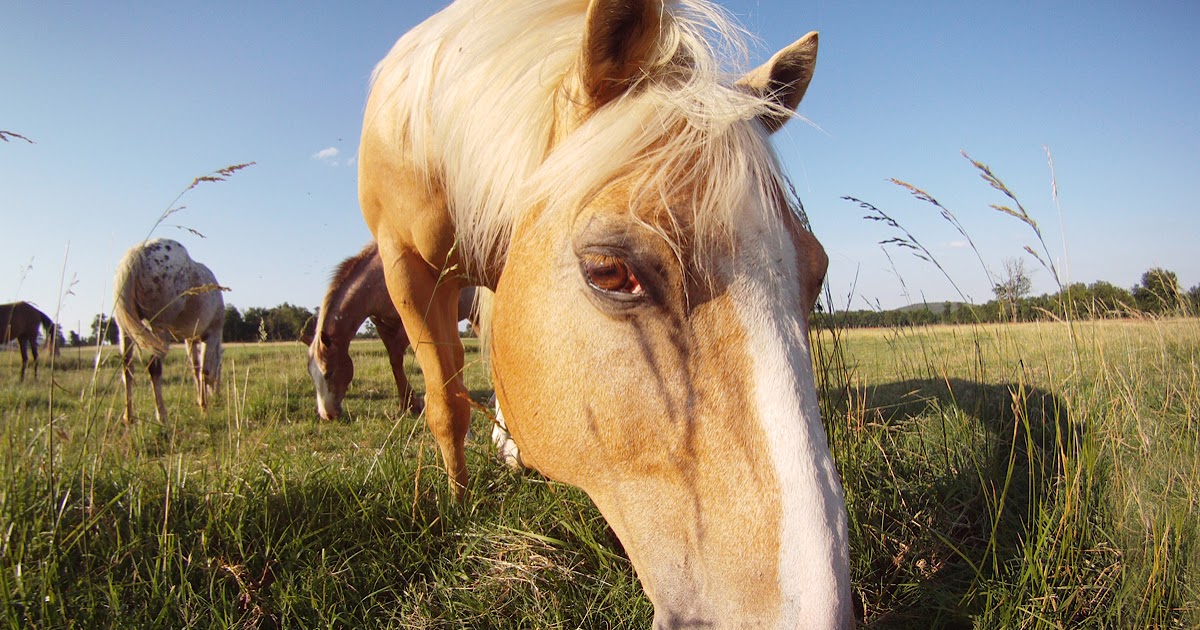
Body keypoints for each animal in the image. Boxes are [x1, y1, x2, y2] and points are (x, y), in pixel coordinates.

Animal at [112, 238, 225, 423]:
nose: (217, 395)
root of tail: (138, 252)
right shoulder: (211, 335)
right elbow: (204, 371)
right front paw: (204, 407)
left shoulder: (190, 340)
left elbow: (195, 370)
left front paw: (200, 402)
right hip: (160, 330)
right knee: (154, 368)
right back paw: (162, 416)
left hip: (124, 331)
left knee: (127, 368)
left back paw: (129, 417)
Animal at [300, 241, 478, 420]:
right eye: (311, 373)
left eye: (328, 373)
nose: (327, 414)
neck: (379, 278)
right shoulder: (382, 326)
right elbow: (394, 362)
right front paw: (406, 404)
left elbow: (397, 357)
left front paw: (412, 403)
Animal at [359, 0, 849, 626]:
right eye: (609, 272)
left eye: (817, 273)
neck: (433, 138)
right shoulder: (405, 264)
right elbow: (447, 406)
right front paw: (458, 507)